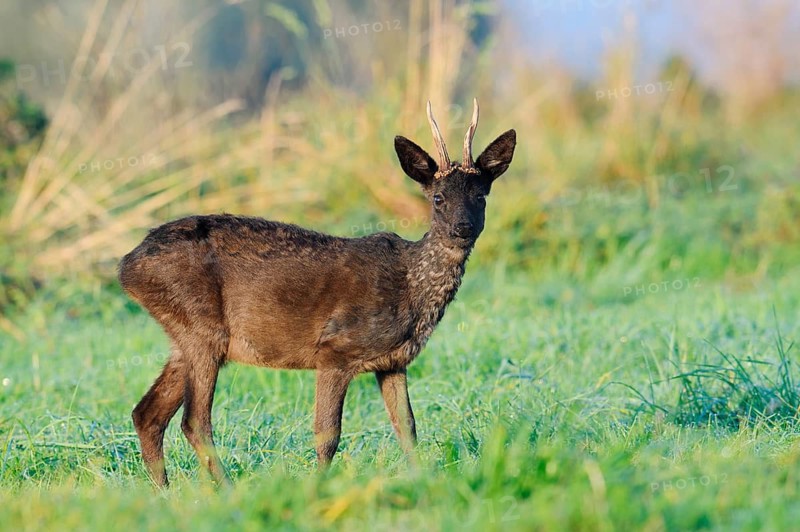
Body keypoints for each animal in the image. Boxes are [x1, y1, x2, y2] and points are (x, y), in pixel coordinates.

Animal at [118, 99, 516, 487]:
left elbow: (407, 428)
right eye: (437, 198)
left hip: (186, 335)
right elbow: (328, 434)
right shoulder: (334, 349)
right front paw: (318, 487)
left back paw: (165, 492)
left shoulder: (394, 362)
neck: (410, 288)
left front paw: (422, 483)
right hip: (200, 324)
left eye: (481, 196)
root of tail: (127, 265)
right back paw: (227, 489)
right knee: (194, 421)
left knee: (147, 413)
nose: (462, 228)